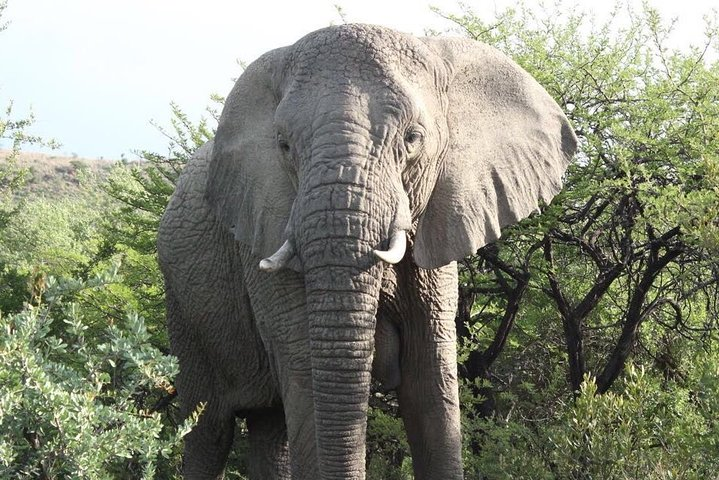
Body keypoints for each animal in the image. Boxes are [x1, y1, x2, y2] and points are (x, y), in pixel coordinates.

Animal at [158, 23, 576, 480]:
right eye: (283, 146)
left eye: (413, 139)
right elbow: (308, 373)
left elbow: (429, 387)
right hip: (182, 305)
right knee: (209, 430)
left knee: (270, 432)